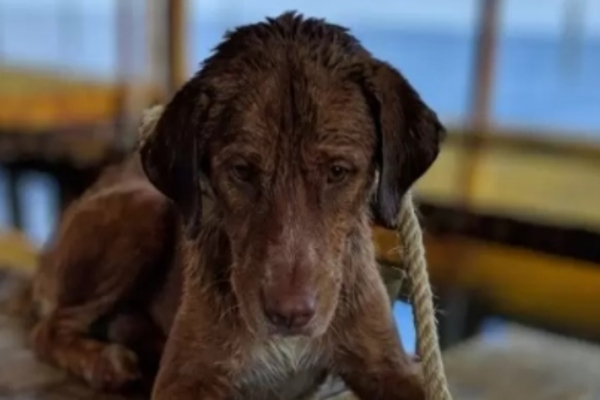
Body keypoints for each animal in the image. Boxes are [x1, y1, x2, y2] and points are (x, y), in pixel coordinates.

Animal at [29, 12, 446, 400]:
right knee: (48, 328)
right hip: (142, 212)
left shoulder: (388, 363)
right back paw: (105, 361)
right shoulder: (187, 376)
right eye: (242, 171)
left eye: (338, 171)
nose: (289, 315)